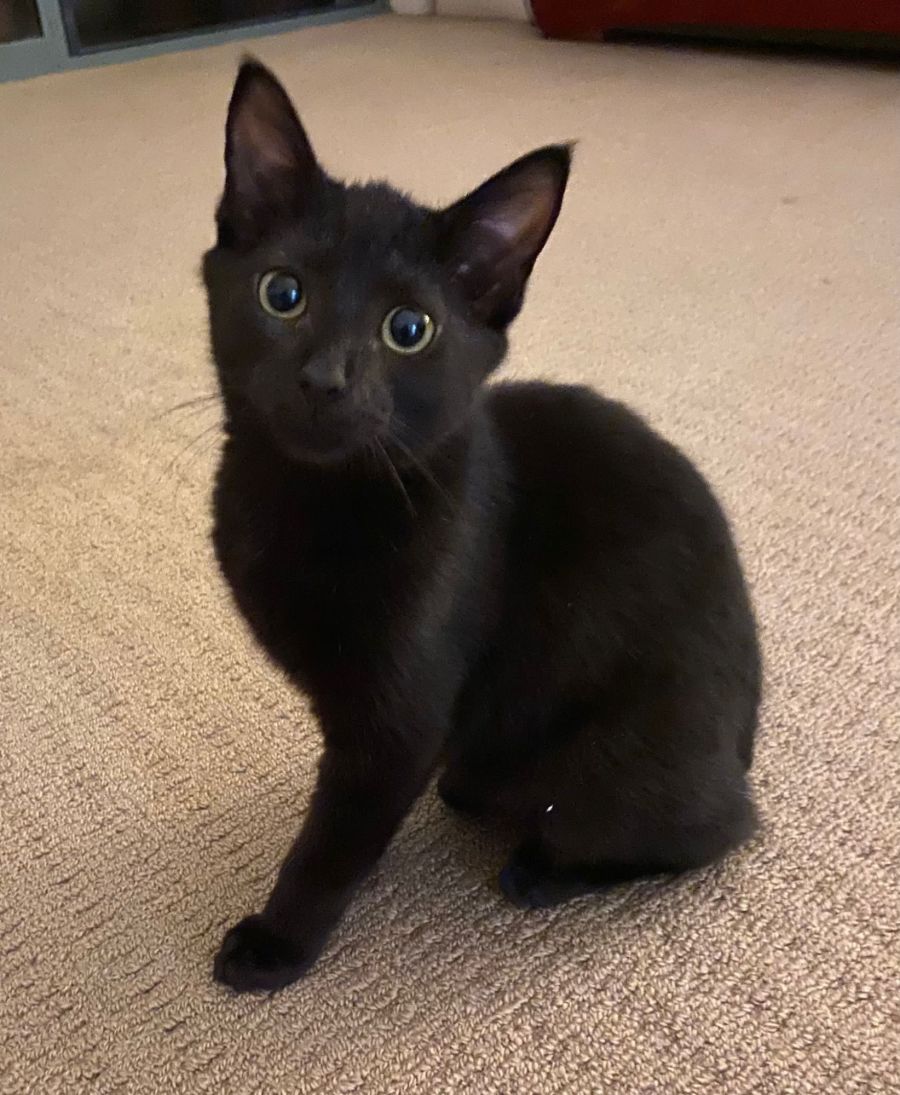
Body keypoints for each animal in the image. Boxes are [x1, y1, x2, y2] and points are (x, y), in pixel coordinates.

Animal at [202, 59, 761, 993]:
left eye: (409, 329)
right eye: (283, 293)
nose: (325, 378)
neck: (311, 498)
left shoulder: (398, 719)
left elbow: (330, 841)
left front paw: (277, 942)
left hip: (607, 769)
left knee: (708, 834)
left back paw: (543, 868)